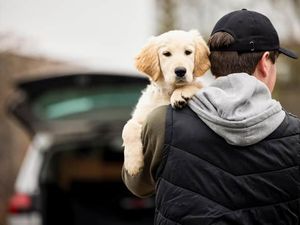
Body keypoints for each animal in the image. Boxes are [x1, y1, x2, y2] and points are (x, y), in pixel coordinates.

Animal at [120, 29, 210, 176]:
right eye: (166, 54)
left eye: (188, 52)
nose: (180, 71)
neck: (168, 92)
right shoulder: (142, 116)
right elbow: (128, 127)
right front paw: (133, 164)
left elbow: (196, 86)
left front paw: (181, 94)